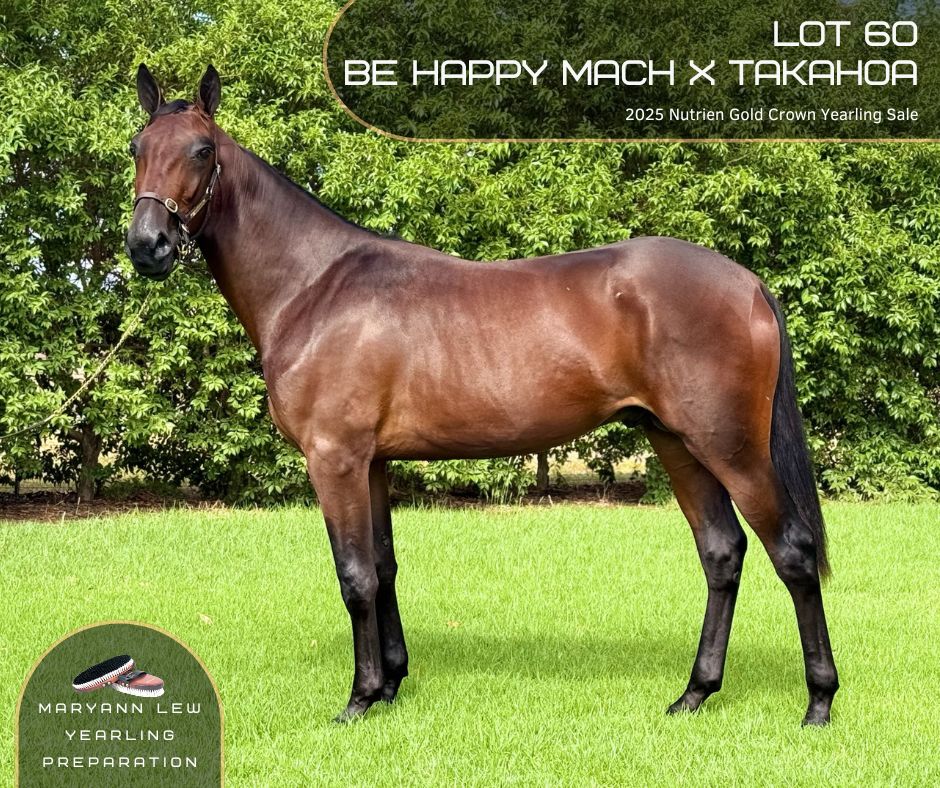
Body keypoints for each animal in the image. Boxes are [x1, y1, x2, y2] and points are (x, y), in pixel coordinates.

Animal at [126, 64, 838, 726]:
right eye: (137, 146)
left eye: (202, 151)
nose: (146, 246)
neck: (315, 285)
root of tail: (745, 281)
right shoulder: (373, 464)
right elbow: (384, 568)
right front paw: (391, 684)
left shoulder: (335, 459)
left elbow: (355, 577)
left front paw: (359, 699)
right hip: (678, 444)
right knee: (722, 553)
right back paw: (695, 693)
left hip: (732, 448)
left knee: (793, 553)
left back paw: (818, 702)